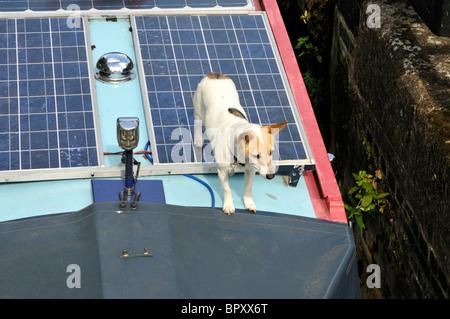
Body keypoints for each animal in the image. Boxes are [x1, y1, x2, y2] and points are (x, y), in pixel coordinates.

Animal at [192, 72, 284, 216]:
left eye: (271, 152)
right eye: (257, 155)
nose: (271, 176)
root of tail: (214, 74)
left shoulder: (251, 170)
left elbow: (248, 187)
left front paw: (249, 202)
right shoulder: (222, 171)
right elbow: (227, 190)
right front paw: (228, 205)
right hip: (198, 109)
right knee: (197, 121)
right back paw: (198, 139)